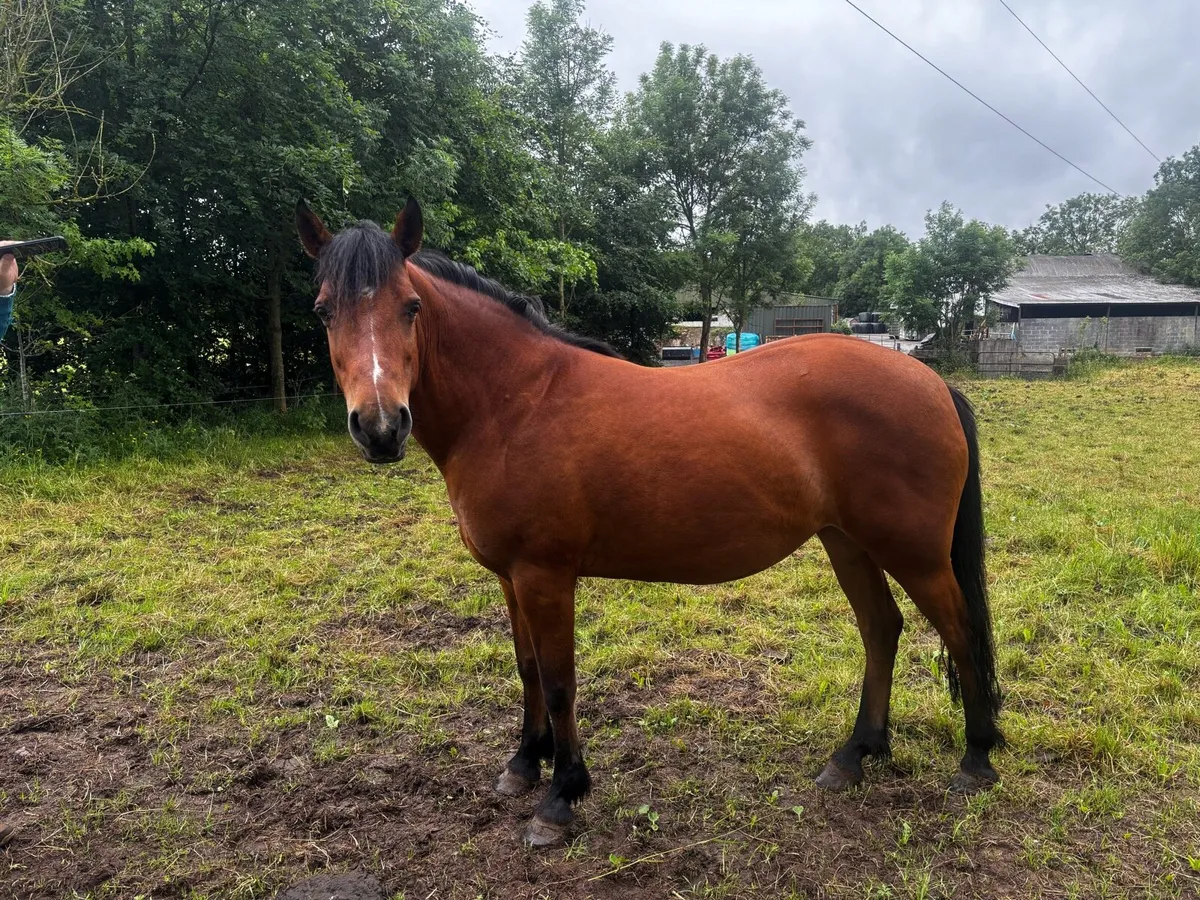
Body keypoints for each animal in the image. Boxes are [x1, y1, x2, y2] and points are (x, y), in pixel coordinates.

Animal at [295, 199, 1004, 846]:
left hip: (913, 553)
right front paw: (524, 764)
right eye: (324, 310)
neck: (515, 403)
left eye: (411, 306)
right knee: (882, 630)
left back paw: (976, 758)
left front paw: (560, 796)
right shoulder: (509, 578)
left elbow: (560, 681)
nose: (380, 427)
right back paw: (855, 755)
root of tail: (931, 382)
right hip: (849, 544)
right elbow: (527, 669)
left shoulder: (545, 577)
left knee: (960, 630)